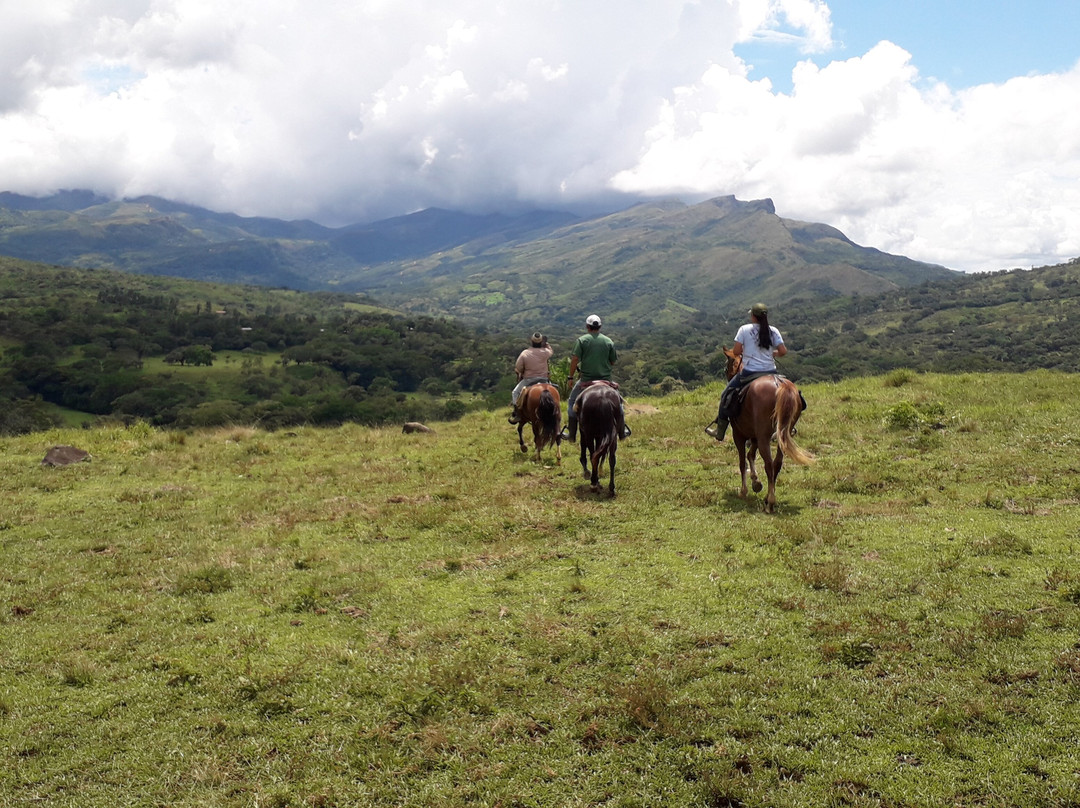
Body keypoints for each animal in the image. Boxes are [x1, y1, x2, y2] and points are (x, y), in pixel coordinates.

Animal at [717, 345, 812, 512]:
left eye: (726, 367)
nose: (729, 376)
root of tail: (779, 384)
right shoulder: (755, 435)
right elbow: (751, 455)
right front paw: (756, 482)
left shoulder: (738, 434)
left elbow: (743, 462)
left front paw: (744, 490)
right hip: (781, 436)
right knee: (776, 463)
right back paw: (768, 498)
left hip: (763, 438)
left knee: (768, 464)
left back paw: (770, 502)